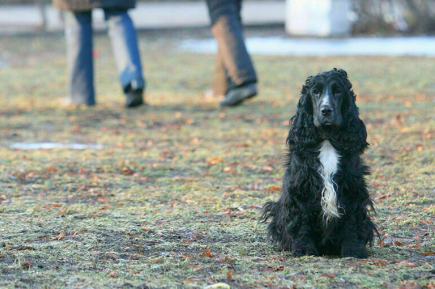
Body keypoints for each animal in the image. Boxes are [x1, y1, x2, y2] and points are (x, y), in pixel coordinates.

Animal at [262, 69, 378, 256]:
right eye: (315, 92)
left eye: (338, 92)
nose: (326, 110)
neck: (327, 140)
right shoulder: (301, 188)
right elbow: (302, 221)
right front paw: (304, 248)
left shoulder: (352, 187)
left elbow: (351, 221)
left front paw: (353, 249)